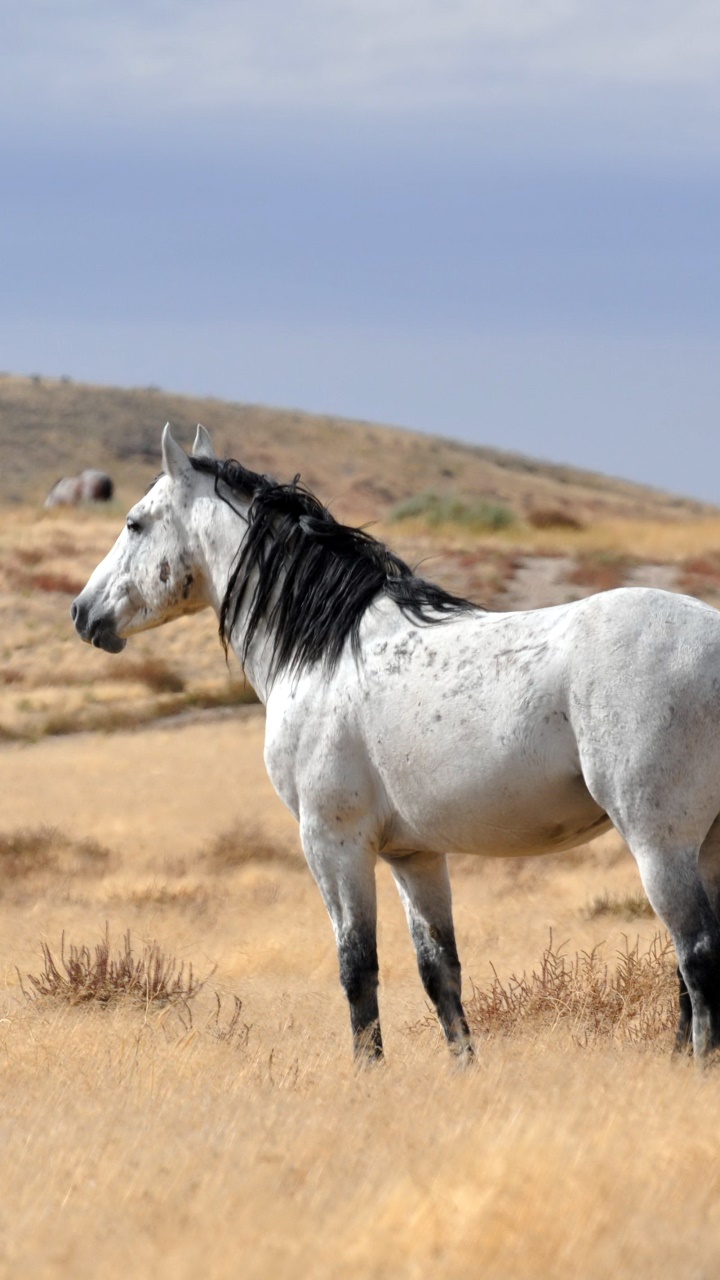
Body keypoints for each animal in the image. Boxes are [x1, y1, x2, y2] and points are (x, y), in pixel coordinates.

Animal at [71, 425, 720, 1062]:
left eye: (134, 523)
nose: (82, 612)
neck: (325, 651)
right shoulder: (416, 856)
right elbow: (440, 972)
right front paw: (463, 1070)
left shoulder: (333, 844)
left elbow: (357, 969)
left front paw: (368, 1072)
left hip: (660, 845)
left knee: (697, 956)